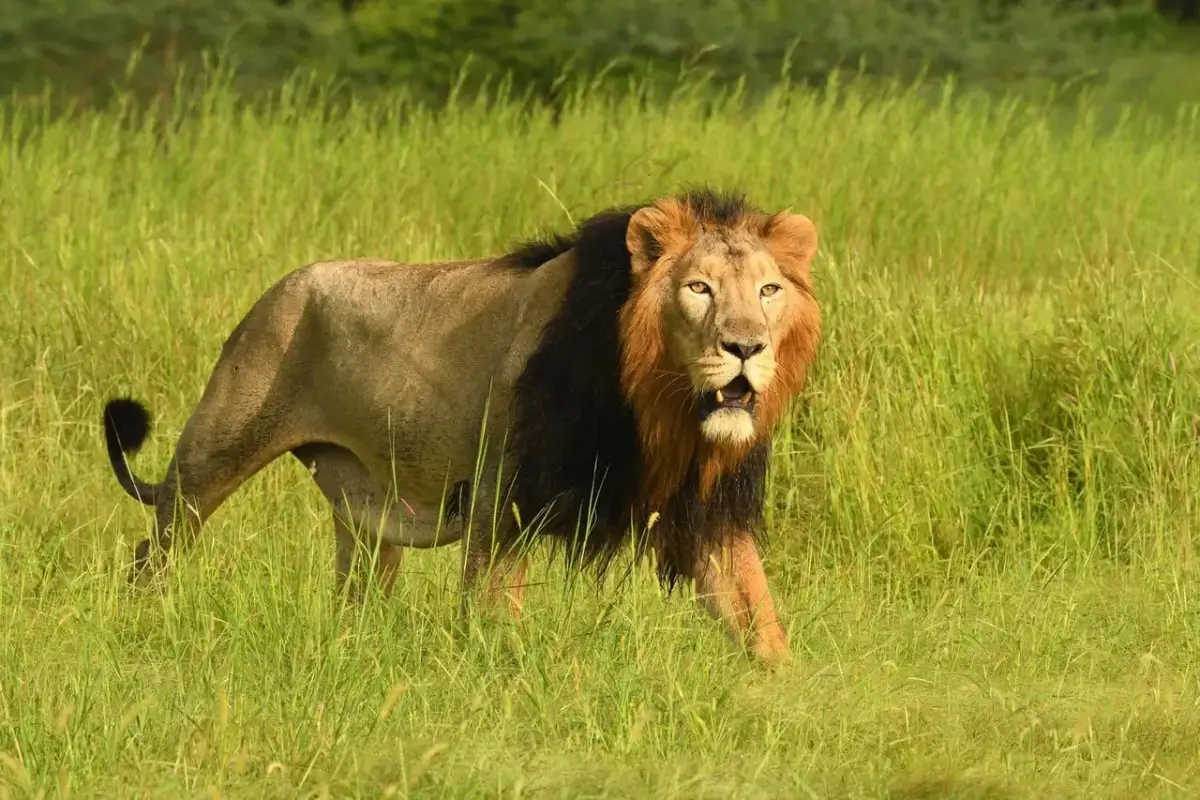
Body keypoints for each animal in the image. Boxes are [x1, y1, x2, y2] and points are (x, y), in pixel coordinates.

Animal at [103, 185, 820, 662]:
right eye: (699, 288)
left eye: (768, 291)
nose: (746, 347)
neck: (657, 406)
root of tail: (280, 286)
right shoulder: (501, 498)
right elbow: (494, 610)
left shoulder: (708, 510)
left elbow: (758, 615)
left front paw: (788, 699)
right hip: (214, 450)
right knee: (157, 544)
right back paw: (143, 623)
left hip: (365, 510)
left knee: (355, 587)